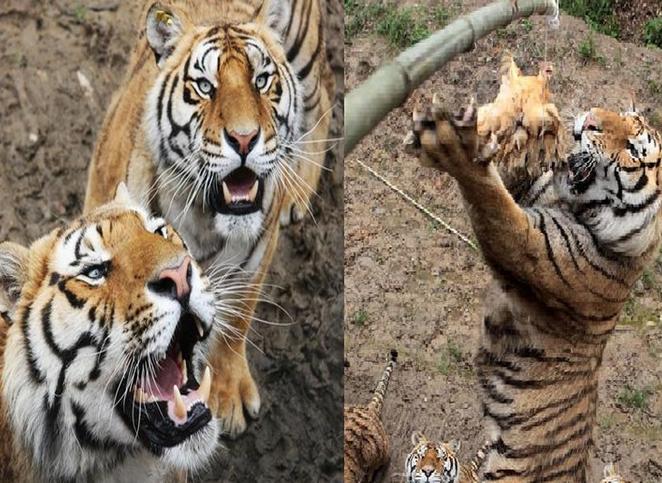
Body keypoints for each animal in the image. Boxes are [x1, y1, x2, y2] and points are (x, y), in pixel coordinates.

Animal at [83, 0, 334, 437]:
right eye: (204, 86)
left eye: (262, 80)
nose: (245, 139)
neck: (202, 215)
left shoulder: (255, 261)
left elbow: (236, 320)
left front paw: (228, 394)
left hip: (305, 49)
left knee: (325, 94)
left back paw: (299, 189)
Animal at [406, 91, 661, 481]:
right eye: (620, 114)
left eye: (633, 149)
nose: (590, 120)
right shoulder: (525, 191)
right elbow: (505, 176)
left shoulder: (528, 247)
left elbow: (489, 198)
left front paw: (453, 145)